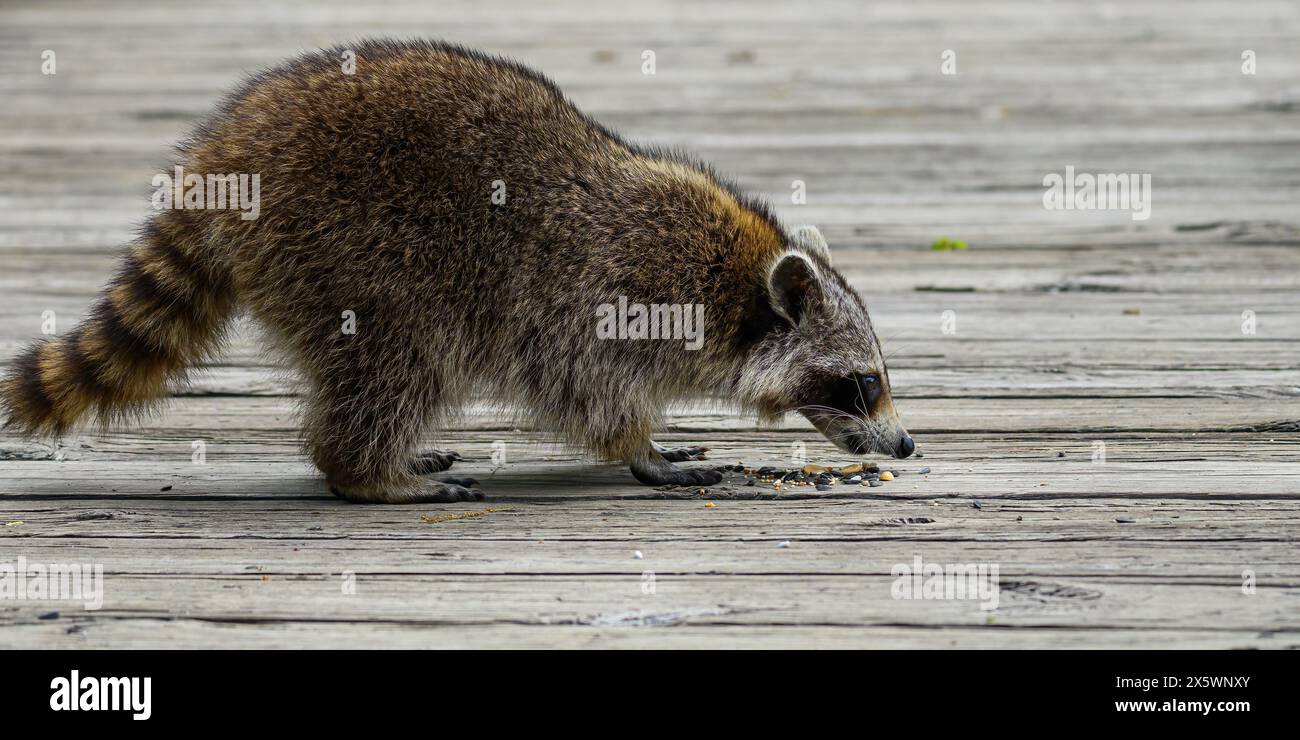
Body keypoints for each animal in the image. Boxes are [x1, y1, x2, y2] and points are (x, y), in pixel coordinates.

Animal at [0, 39, 915, 502]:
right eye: (863, 383)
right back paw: (365, 473)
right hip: (352, 251)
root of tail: (226, 156)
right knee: (401, 359)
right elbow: (583, 385)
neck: (737, 287)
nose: (905, 442)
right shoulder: (612, 292)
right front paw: (637, 448)